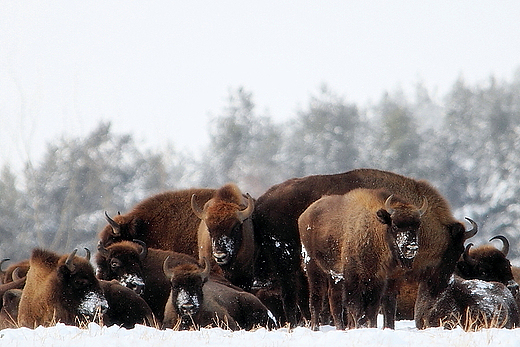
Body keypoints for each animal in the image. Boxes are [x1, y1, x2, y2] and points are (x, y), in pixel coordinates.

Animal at [254, 168, 478, 326]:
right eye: (449, 251)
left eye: (460, 251)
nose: (440, 285)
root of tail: (263, 201)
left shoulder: (389, 278)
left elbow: (387, 305)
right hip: (289, 261)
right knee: (292, 295)